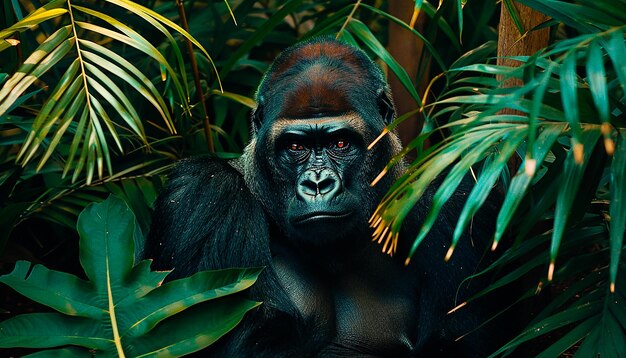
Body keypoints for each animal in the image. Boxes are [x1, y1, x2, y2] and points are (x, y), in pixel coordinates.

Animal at [144, 37, 500, 358]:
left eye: (340, 143)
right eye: (295, 146)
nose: (318, 184)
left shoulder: (454, 201)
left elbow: (454, 343)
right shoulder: (204, 193)